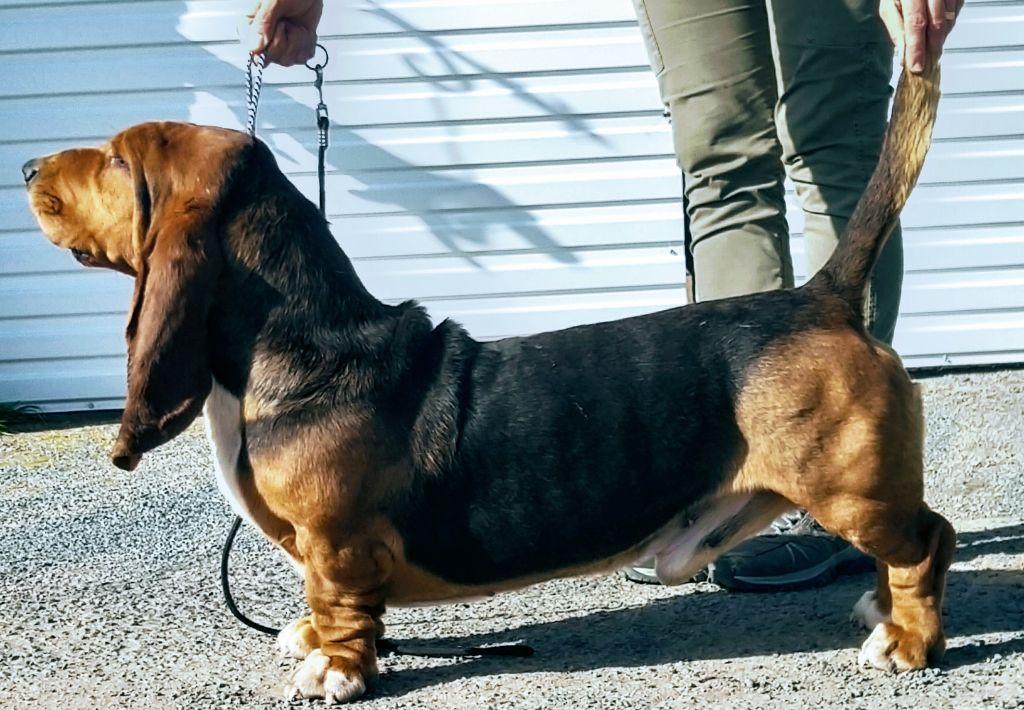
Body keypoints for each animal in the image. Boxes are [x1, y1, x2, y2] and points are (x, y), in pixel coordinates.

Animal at [24, 62, 950, 704]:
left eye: (116, 160)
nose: (28, 165)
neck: (305, 343)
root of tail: (822, 296)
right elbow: (321, 605)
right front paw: (310, 638)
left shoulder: (337, 542)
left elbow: (343, 606)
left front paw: (335, 669)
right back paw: (880, 614)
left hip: (852, 489)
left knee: (924, 542)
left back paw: (906, 643)